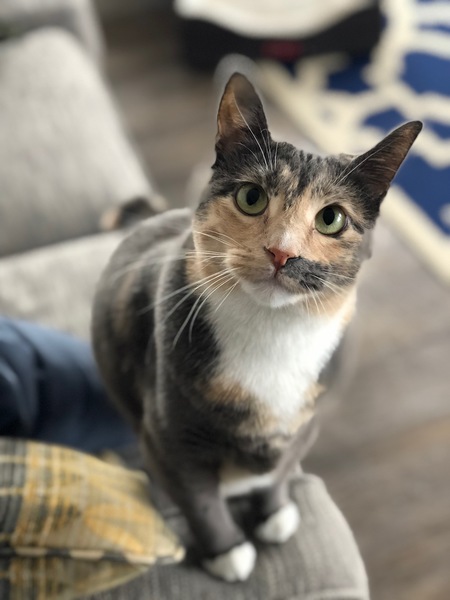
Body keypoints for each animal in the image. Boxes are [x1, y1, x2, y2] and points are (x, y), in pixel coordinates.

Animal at [91, 73, 421, 582]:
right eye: (252, 197)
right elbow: (200, 502)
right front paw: (227, 552)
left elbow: (281, 470)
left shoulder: (309, 422)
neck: (272, 334)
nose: (281, 252)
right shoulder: (170, 440)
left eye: (331, 218)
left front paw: (275, 513)